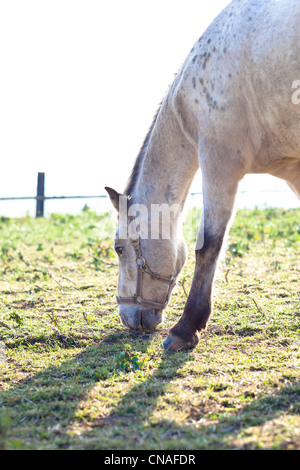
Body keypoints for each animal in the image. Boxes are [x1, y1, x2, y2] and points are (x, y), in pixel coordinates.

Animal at [105, 0, 300, 350]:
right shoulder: (293, 169)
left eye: (119, 248)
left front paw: (186, 327)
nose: (127, 317)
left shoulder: (217, 162)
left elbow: (208, 245)